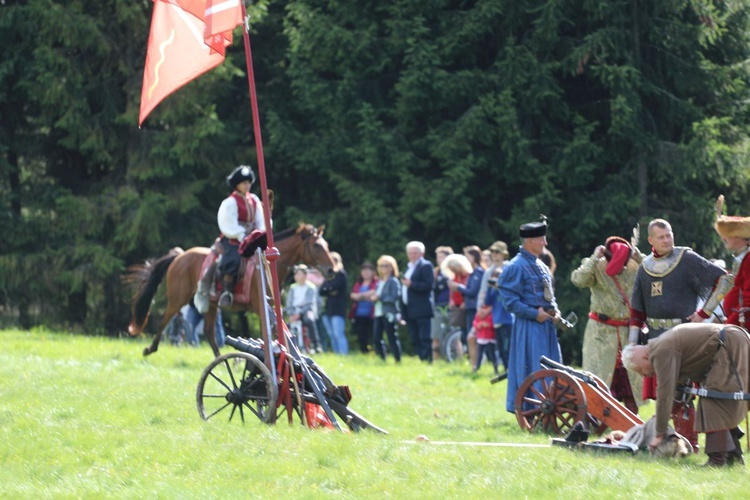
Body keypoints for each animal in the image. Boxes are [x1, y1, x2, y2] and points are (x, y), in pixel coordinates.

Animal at [126, 223, 334, 356]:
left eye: (326, 245)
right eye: (317, 245)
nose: (332, 269)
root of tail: (179, 256)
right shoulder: (260, 308)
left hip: (210, 304)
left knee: (209, 333)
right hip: (179, 298)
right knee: (165, 319)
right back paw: (150, 349)